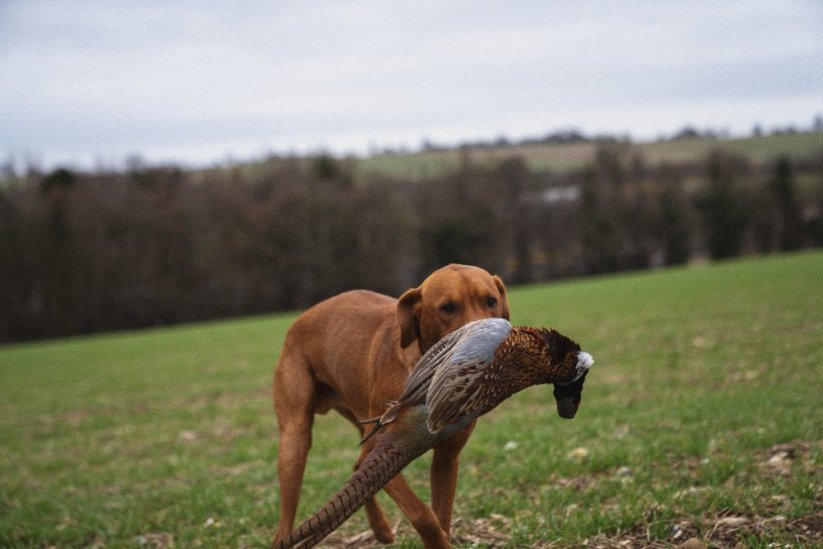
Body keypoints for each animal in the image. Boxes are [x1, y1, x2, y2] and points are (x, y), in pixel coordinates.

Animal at [274, 264, 512, 544]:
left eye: (490, 301)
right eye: (447, 307)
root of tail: (301, 318)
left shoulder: (446, 457)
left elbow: (442, 515)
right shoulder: (385, 451)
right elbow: (423, 515)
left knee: (357, 469)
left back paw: (381, 529)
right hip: (295, 440)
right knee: (285, 520)